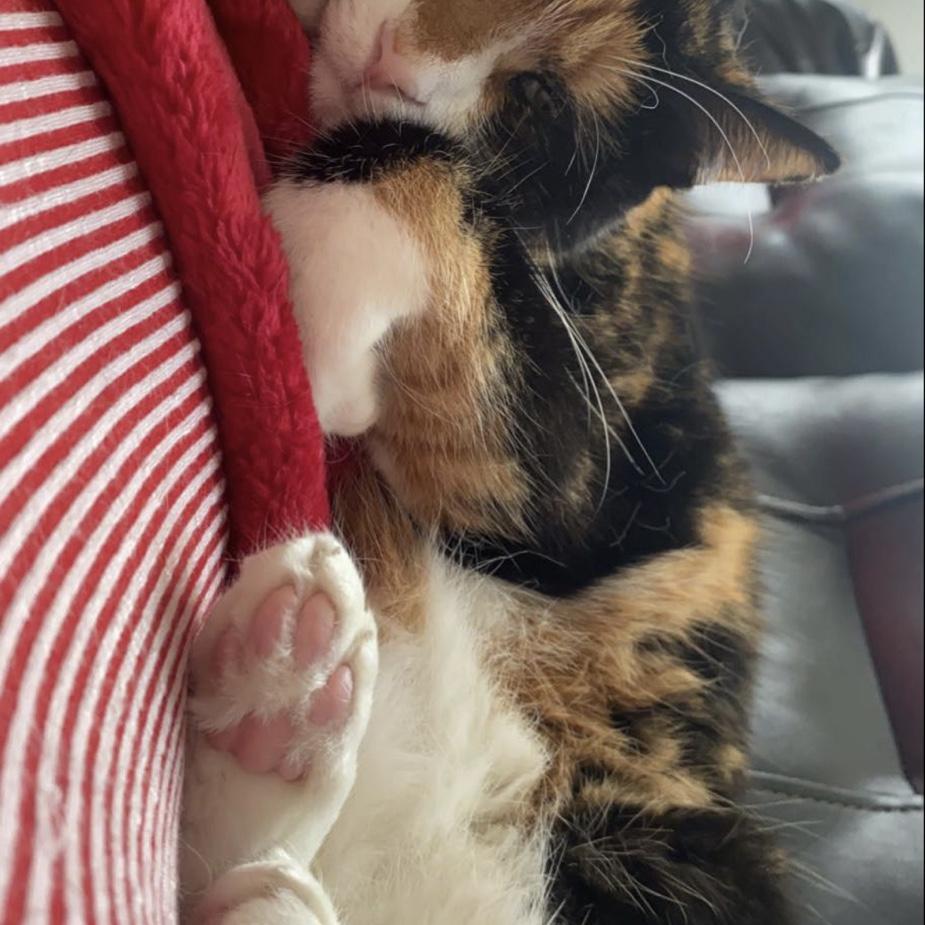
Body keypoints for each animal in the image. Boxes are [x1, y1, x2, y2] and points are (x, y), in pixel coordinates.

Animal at [180, 1, 838, 923]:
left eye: (536, 95)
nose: (391, 61)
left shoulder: (592, 476)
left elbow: (422, 152)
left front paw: (325, 350)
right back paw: (280, 698)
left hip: (665, 841)